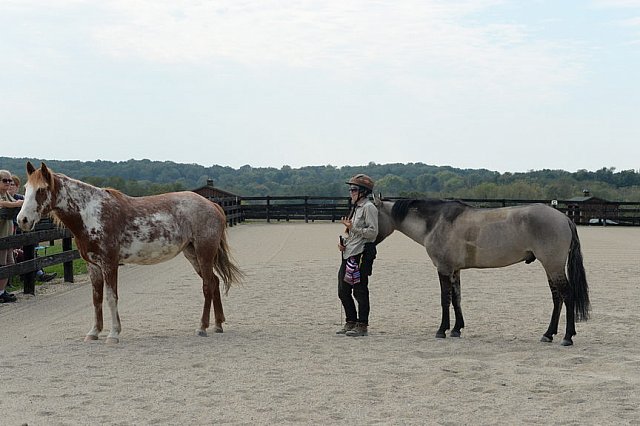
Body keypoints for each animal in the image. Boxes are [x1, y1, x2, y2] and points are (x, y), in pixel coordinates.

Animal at [17, 161, 244, 344]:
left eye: (41, 190)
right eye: (26, 188)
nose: (22, 220)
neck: (92, 214)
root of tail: (212, 204)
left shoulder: (109, 263)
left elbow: (111, 297)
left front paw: (113, 334)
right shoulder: (93, 266)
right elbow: (96, 298)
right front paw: (94, 332)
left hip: (204, 252)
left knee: (207, 286)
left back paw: (202, 327)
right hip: (192, 254)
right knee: (214, 282)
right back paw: (218, 325)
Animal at [376, 196, 592, 346]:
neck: (436, 222)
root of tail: (564, 218)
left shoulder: (443, 269)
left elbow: (445, 299)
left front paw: (442, 330)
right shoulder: (455, 270)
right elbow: (456, 299)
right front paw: (456, 329)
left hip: (553, 266)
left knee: (567, 295)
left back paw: (567, 337)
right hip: (550, 267)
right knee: (557, 298)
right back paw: (548, 334)